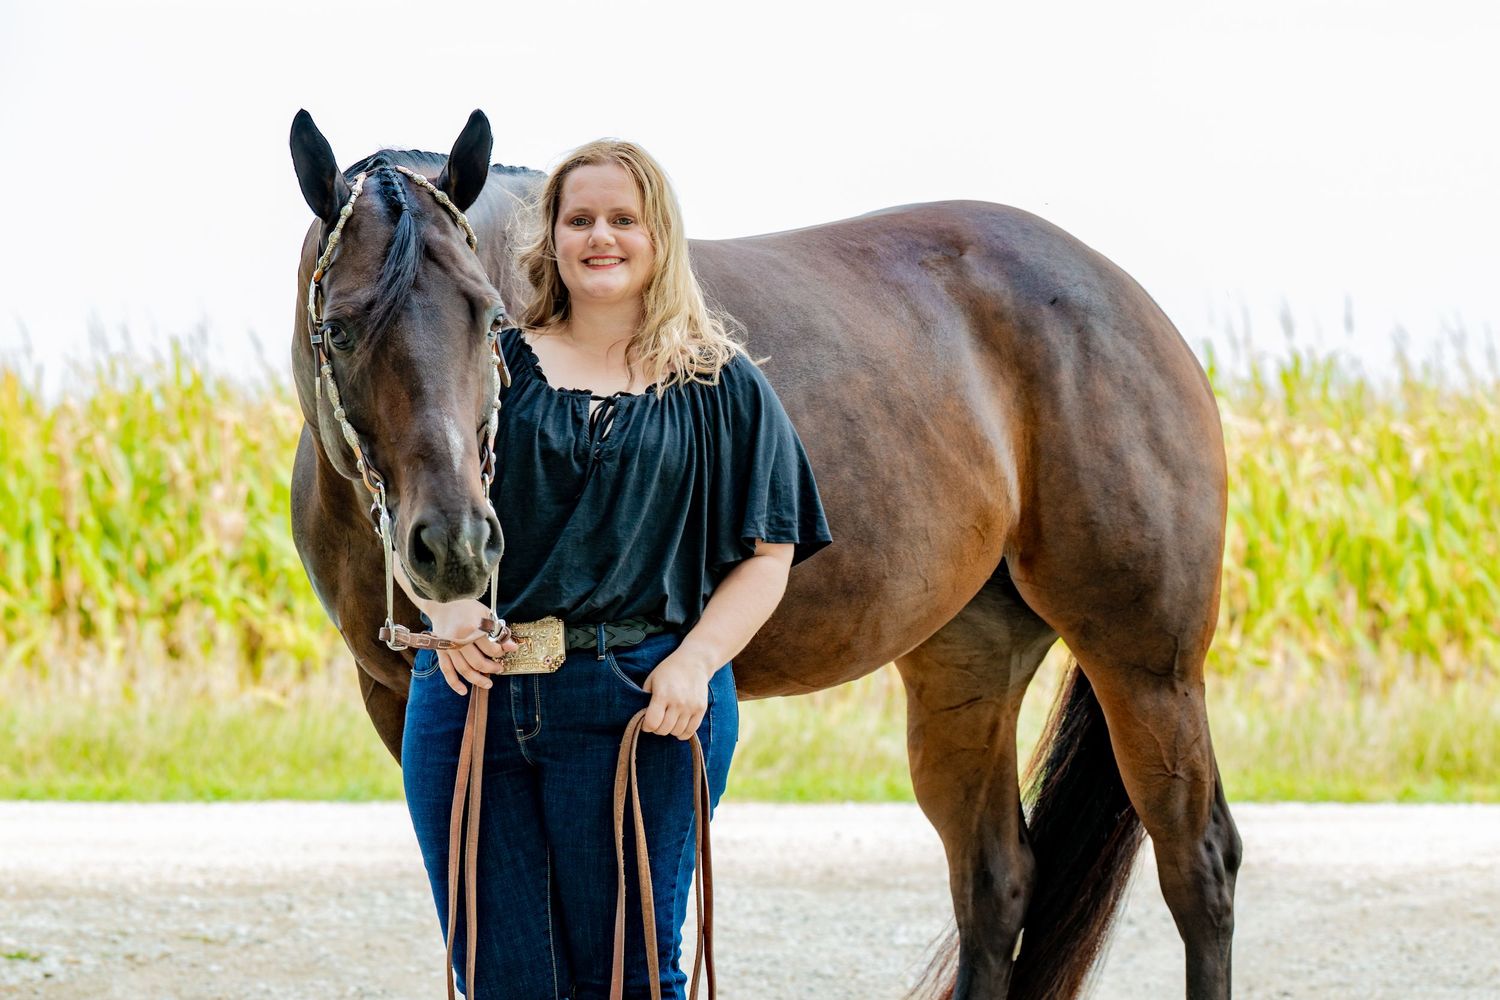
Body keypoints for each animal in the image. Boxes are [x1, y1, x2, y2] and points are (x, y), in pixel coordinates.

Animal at [288, 109, 1241, 1000]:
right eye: (337, 332)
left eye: (489, 318)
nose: (455, 546)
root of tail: (1124, 299)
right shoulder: (403, 707)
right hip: (967, 662)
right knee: (996, 879)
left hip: (1145, 665)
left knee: (1199, 867)